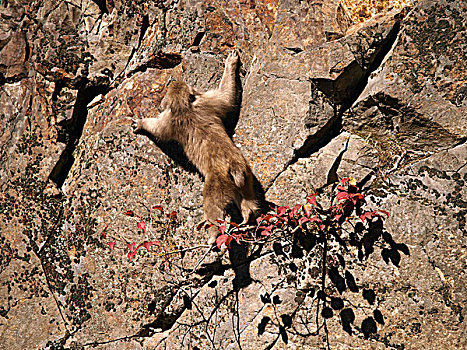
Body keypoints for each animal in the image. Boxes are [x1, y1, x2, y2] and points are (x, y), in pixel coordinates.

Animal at [133, 51, 260, 243]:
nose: (175, 81)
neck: (184, 106)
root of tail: (234, 169)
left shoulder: (169, 120)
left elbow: (157, 128)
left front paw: (140, 123)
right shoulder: (207, 102)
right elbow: (226, 97)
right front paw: (232, 61)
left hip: (217, 187)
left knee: (214, 210)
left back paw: (213, 237)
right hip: (246, 176)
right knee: (248, 200)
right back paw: (248, 219)